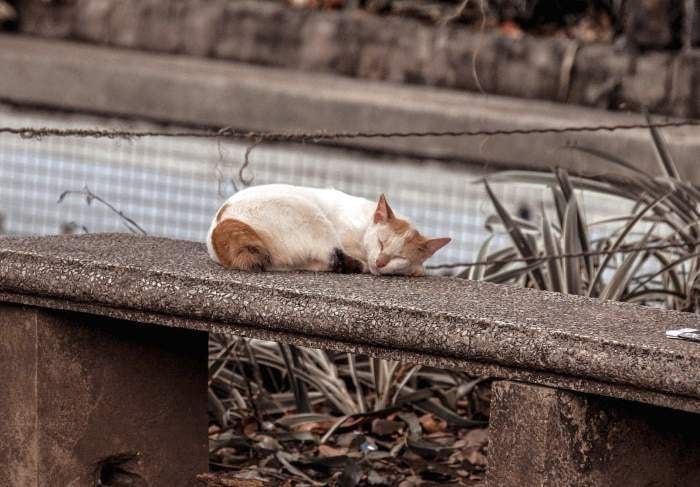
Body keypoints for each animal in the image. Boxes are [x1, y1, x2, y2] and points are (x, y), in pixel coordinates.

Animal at [205, 184, 452, 276]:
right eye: (381, 242)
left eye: (400, 256)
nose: (381, 262)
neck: (364, 224)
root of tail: (223, 222)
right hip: (313, 217)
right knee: (334, 257)